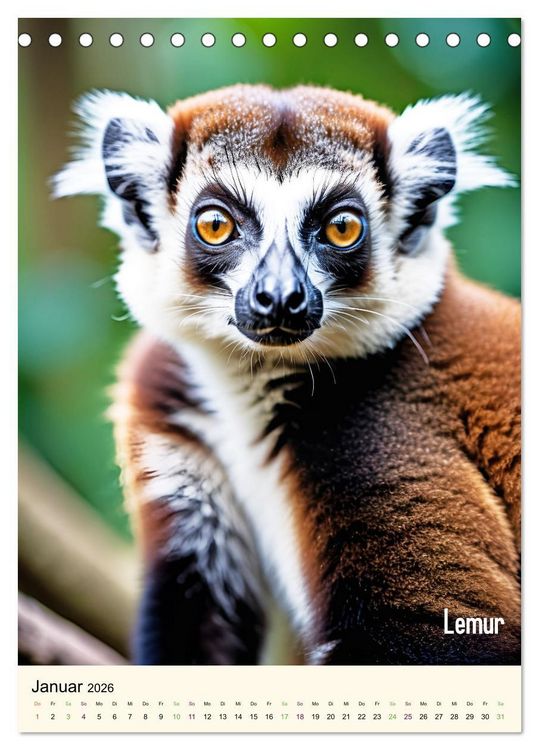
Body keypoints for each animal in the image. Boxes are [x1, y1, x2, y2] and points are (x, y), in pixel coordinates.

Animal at [54, 84, 520, 666]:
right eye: (216, 225)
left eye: (341, 228)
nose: (279, 296)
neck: (254, 388)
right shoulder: (167, 400)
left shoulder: (379, 434)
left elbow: (446, 633)